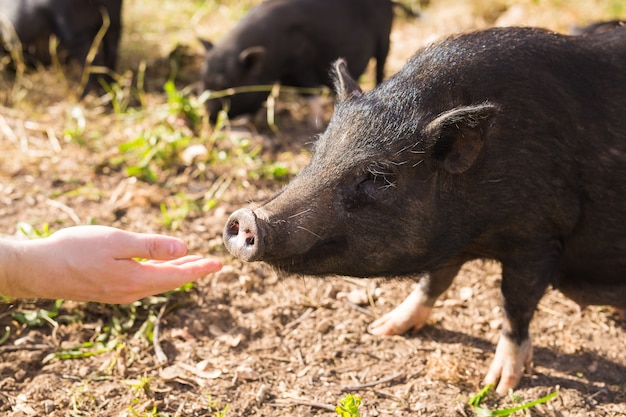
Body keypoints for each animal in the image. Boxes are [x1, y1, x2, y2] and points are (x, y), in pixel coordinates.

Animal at [200, 0, 398, 123]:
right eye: (203, 81)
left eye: (226, 85)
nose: (208, 116)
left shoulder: (302, 63)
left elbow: (309, 90)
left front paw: (314, 123)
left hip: (385, 37)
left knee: (381, 65)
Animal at [224, 26, 624, 394]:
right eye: (318, 150)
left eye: (379, 176)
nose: (247, 218)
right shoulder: (449, 242)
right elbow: (433, 281)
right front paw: (382, 328)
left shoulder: (540, 237)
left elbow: (515, 305)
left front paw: (498, 386)